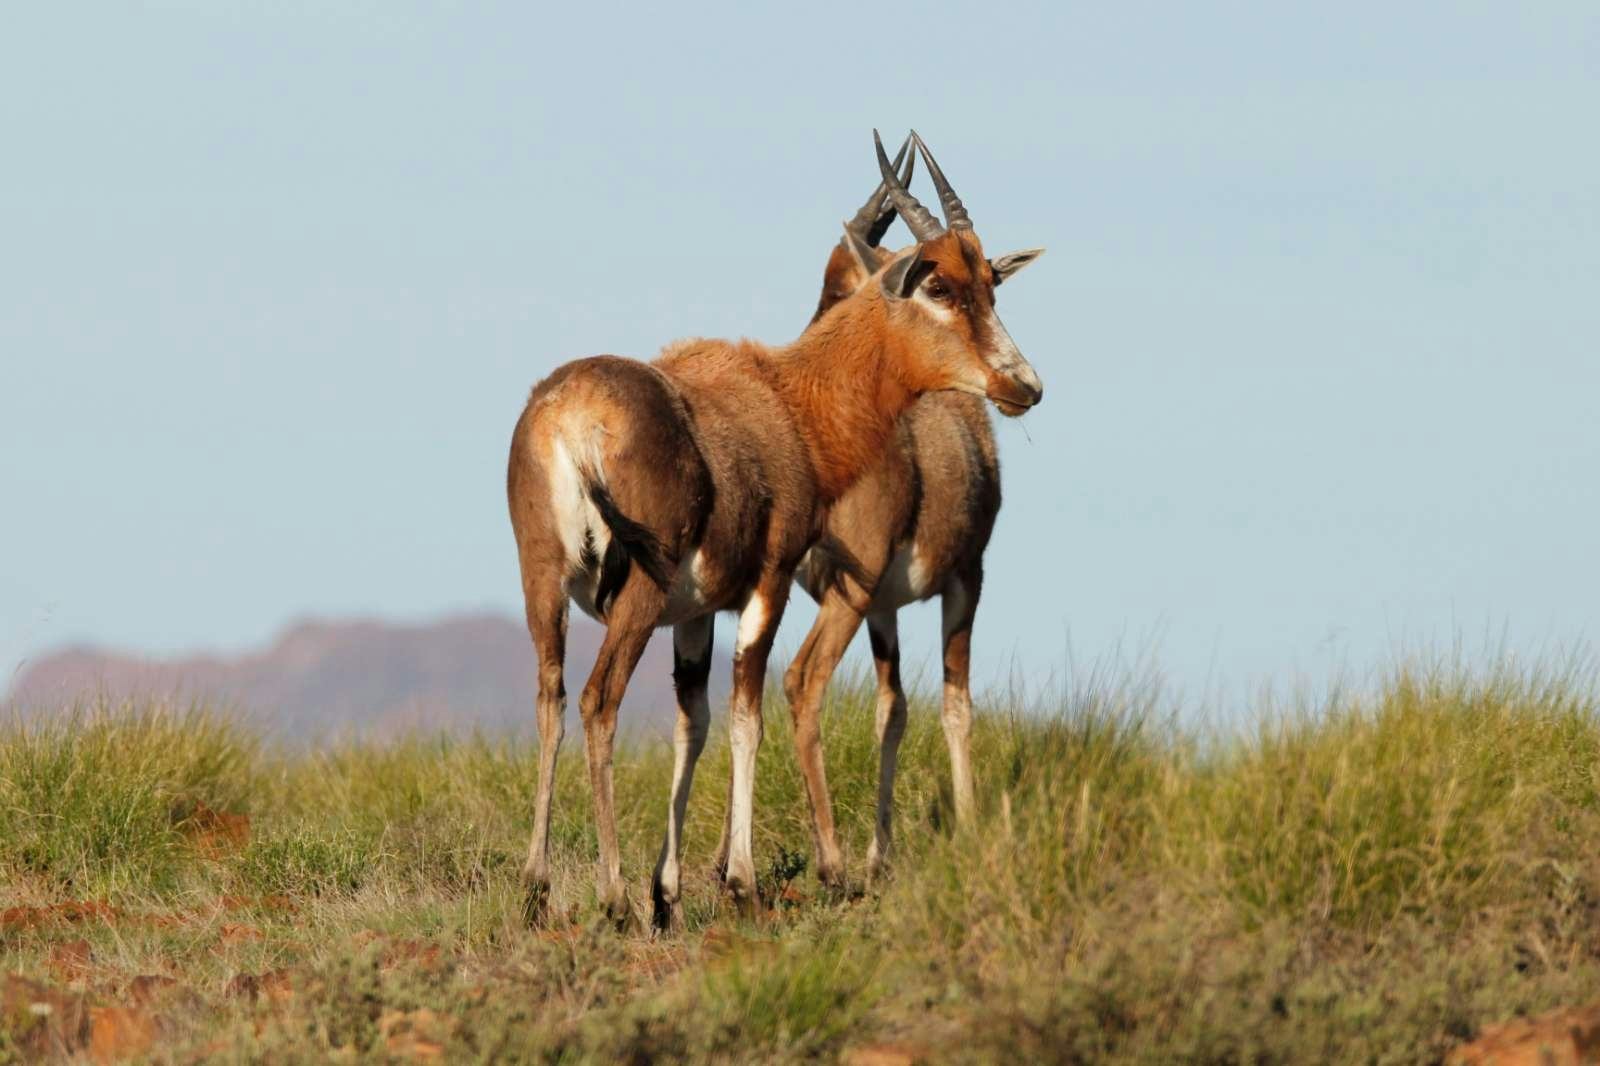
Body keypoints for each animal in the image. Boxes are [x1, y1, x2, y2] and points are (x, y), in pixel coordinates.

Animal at [505, 130, 1043, 928]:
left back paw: (539, 886)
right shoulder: (772, 584)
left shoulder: (695, 612)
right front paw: (741, 881)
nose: (1025, 386)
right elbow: (748, 712)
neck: (784, 400)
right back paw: (613, 895)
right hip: (638, 596)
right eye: (939, 286)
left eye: (991, 283)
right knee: (602, 701)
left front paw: (669, 890)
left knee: (551, 698)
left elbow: (693, 720)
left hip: (542, 580)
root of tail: (570, 414)